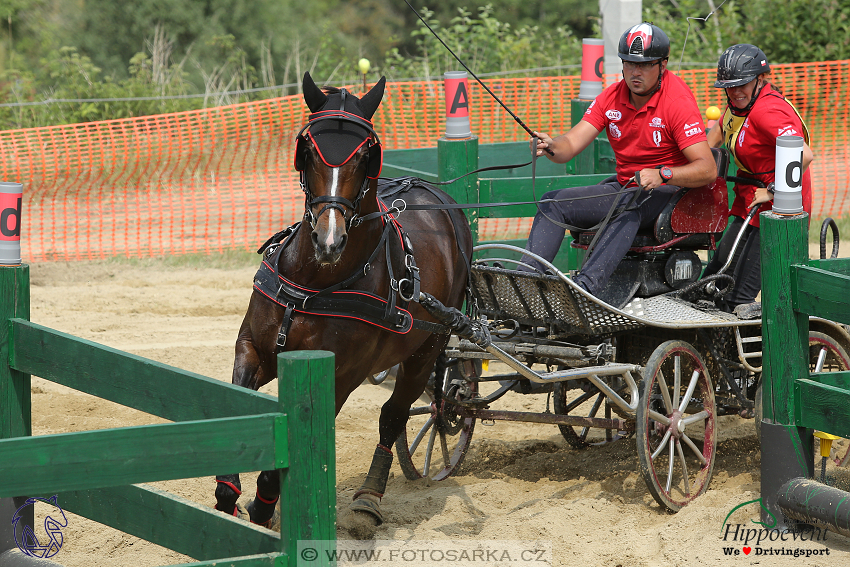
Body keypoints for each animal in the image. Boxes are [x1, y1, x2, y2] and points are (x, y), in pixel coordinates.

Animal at [212, 72, 474, 528]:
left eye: (366, 156)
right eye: (308, 152)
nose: (329, 240)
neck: (314, 283)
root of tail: (436, 195)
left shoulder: (340, 377)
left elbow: (280, 465)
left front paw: (263, 512)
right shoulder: (252, 351)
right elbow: (238, 419)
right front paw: (228, 500)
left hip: (427, 349)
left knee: (394, 416)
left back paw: (369, 497)